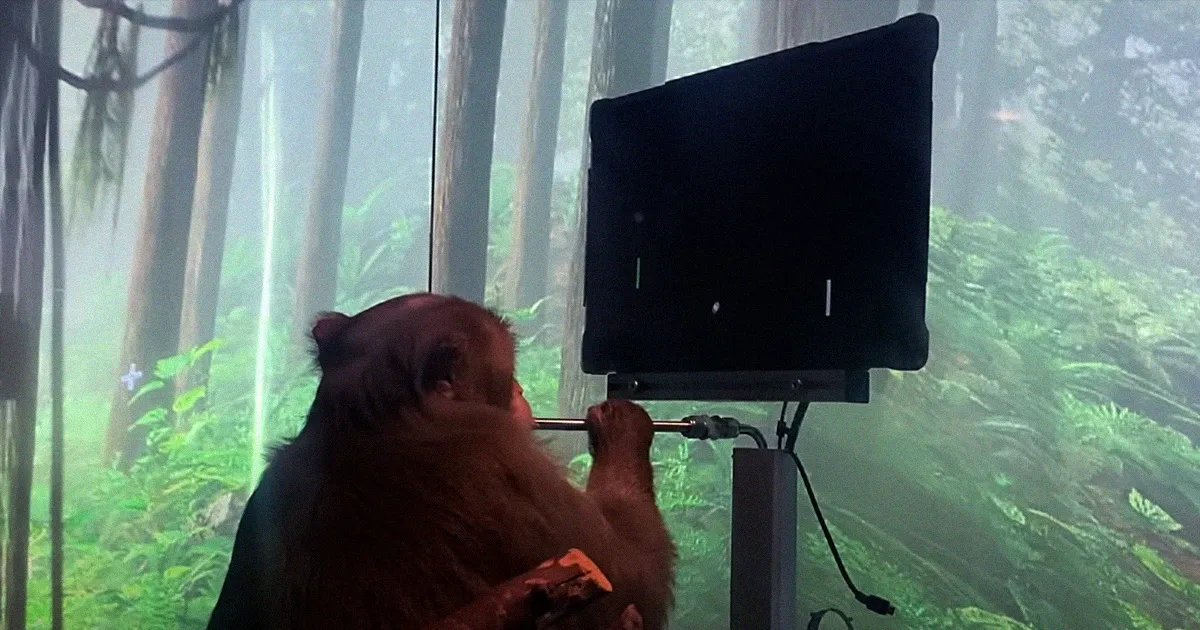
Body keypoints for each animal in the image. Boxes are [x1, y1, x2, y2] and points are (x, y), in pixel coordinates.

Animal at [207, 293, 675, 629]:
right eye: (509, 374)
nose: (521, 392)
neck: (370, 415)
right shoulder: (505, 460)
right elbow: (633, 576)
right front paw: (622, 427)